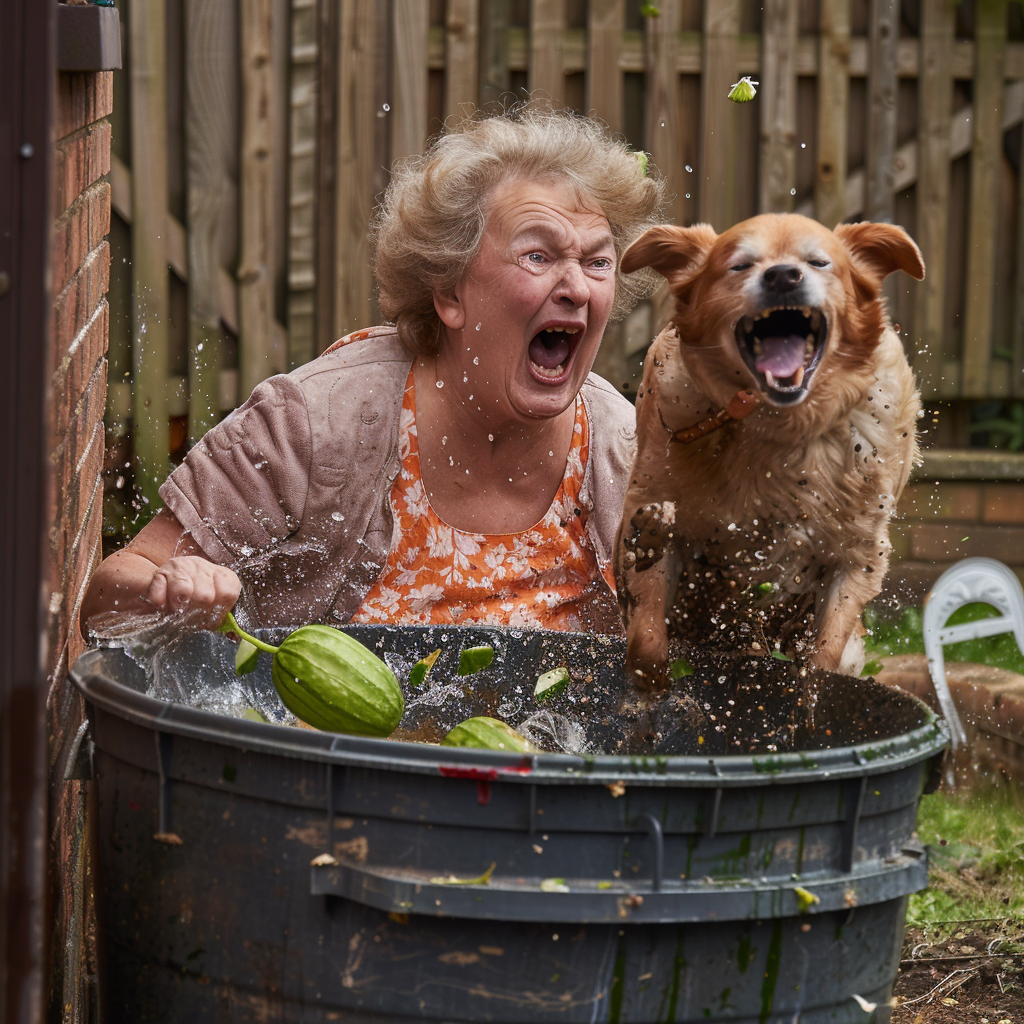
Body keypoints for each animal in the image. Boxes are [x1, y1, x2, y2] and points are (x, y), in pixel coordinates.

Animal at [614, 211, 929, 692]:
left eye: (819, 262)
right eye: (740, 265)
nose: (783, 276)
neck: (784, 427)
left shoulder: (859, 555)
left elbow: (824, 655)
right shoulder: (655, 506)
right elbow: (648, 637)